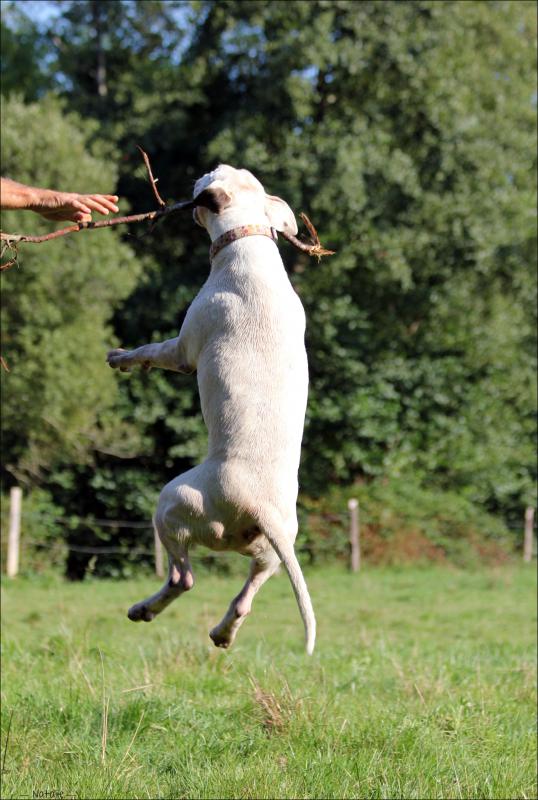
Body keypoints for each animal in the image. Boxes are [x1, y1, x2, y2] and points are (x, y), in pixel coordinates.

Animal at [106, 166, 314, 652]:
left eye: (210, 178)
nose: (204, 172)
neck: (247, 238)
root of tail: (261, 507)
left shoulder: (183, 348)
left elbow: (152, 350)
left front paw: (123, 358)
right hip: (272, 552)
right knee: (246, 595)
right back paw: (222, 632)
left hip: (172, 505)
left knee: (183, 577)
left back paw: (144, 609)